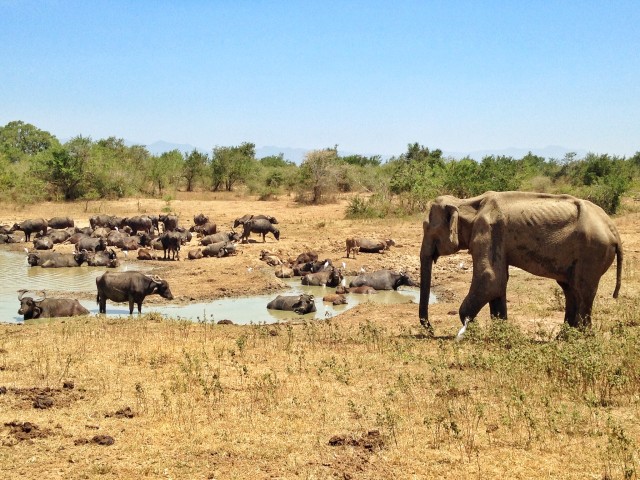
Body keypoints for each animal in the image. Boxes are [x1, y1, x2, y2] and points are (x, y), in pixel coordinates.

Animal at [418, 189, 624, 332]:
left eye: (427, 228)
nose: (431, 329)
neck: (465, 203)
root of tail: (613, 230)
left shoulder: (487, 232)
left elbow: (490, 279)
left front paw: (473, 329)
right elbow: (498, 283)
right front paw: (500, 333)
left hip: (593, 251)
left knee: (582, 290)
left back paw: (579, 338)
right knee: (570, 288)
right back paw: (564, 337)